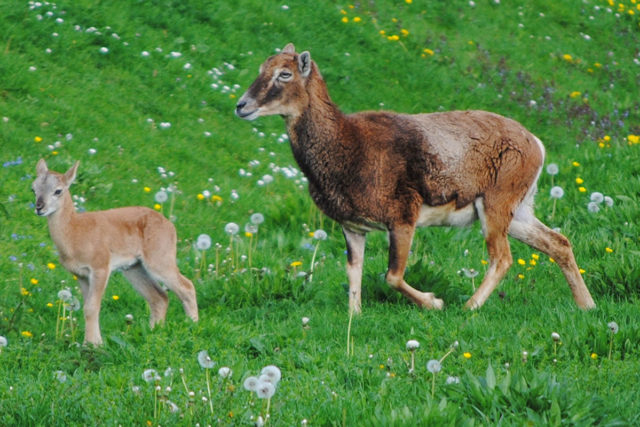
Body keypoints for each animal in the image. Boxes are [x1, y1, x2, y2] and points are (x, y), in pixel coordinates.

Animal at [235, 43, 596, 314]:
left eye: (285, 74)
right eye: (262, 69)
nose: (242, 106)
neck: (348, 146)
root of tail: (535, 144)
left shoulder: (402, 220)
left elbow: (392, 276)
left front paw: (435, 303)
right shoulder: (353, 228)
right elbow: (354, 271)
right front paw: (355, 314)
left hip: (495, 208)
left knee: (502, 257)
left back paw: (468, 307)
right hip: (517, 213)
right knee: (558, 243)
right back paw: (587, 305)